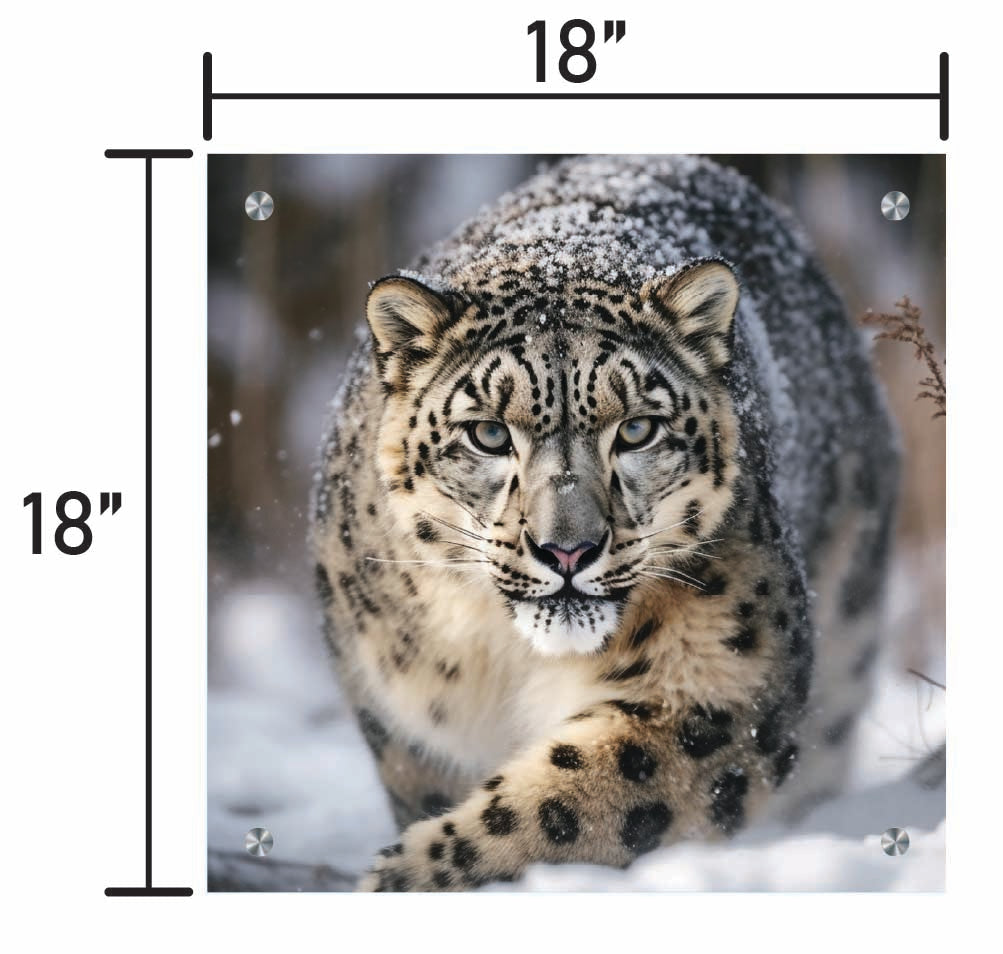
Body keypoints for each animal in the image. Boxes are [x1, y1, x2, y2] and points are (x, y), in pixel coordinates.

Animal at [310, 155, 899, 891]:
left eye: (638, 428)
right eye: (487, 434)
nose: (568, 550)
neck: (510, 662)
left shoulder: (717, 686)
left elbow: (568, 804)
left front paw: (412, 874)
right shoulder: (406, 718)